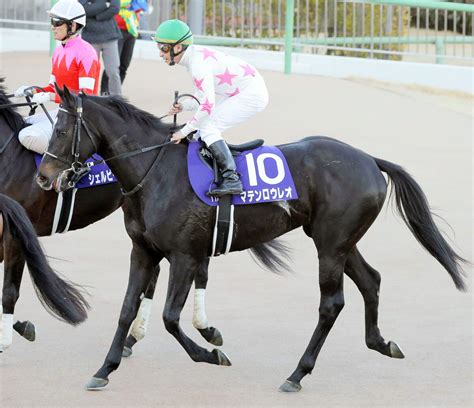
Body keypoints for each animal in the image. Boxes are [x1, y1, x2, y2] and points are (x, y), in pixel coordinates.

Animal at [38, 87, 466, 392]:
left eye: (61, 130)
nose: (43, 177)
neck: (155, 171)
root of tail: (369, 160)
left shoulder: (185, 255)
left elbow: (170, 317)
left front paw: (211, 353)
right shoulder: (144, 251)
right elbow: (128, 310)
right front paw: (105, 368)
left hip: (330, 245)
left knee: (332, 304)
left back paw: (297, 373)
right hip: (341, 241)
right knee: (371, 281)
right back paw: (380, 342)